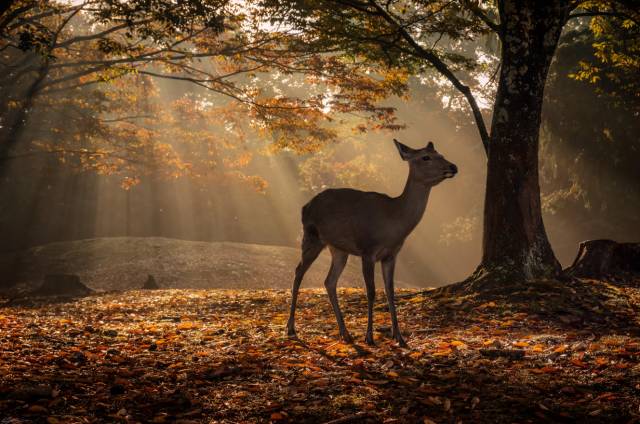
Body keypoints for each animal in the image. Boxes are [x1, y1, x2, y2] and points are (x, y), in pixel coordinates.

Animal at [288, 140, 458, 348]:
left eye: (441, 154)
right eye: (425, 157)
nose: (453, 167)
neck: (393, 222)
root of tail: (304, 207)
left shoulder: (391, 255)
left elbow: (390, 291)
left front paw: (399, 337)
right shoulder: (367, 250)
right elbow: (371, 292)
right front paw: (369, 337)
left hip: (338, 249)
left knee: (329, 281)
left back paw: (345, 333)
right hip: (311, 237)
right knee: (298, 272)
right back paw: (291, 328)